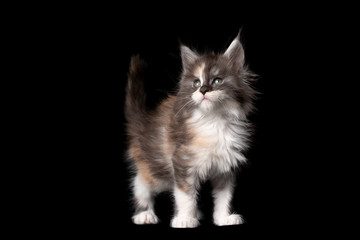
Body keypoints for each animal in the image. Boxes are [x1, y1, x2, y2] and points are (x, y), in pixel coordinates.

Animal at [125, 33, 258, 227]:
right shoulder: (181, 161)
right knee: (140, 183)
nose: (203, 90)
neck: (213, 120)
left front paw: (223, 218)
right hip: (155, 168)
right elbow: (185, 194)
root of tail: (144, 121)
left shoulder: (226, 168)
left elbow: (224, 196)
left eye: (217, 81)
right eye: (196, 83)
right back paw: (145, 214)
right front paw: (185, 219)